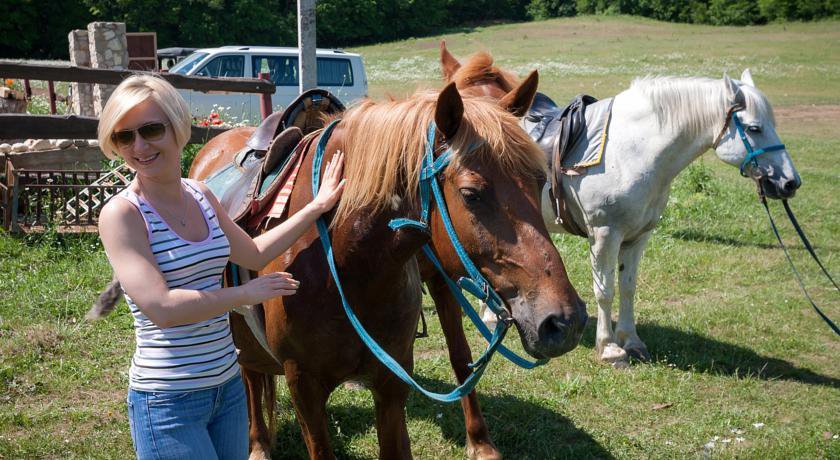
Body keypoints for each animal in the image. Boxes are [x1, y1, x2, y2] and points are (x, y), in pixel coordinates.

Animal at [187, 81, 584, 458]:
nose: (565, 321)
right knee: (249, 376)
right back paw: (257, 445)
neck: (347, 263)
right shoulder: (303, 385)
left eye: (539, 181)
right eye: (471, 194)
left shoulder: (392, 380)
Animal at [440, 47, 800, 362]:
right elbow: (605, 290)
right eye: (754, 128)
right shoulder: (604, 235)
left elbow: (627, 288)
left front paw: (632, 342)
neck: (632, 149)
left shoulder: (637, 237)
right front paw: (610, 349)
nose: (789, 182)